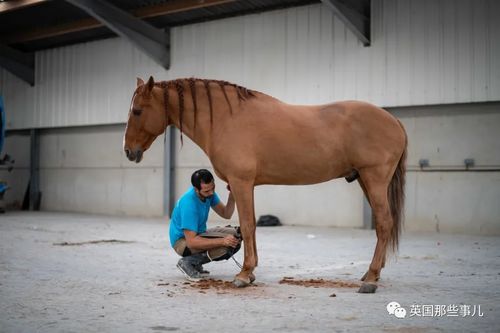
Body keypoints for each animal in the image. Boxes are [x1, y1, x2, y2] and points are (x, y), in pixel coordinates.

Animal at [124, 76, 406, 294]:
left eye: (137, 111)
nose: (128, 151)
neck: (227, 118)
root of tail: (394, 121)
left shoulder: (241, 182)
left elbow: (248, 225)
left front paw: (243, 275)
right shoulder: (245, 186)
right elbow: (250, 226)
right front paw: (250, 273)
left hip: (373, 179)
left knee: (384, 223)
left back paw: (370, 280)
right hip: (365, 181)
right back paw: (371, 275)